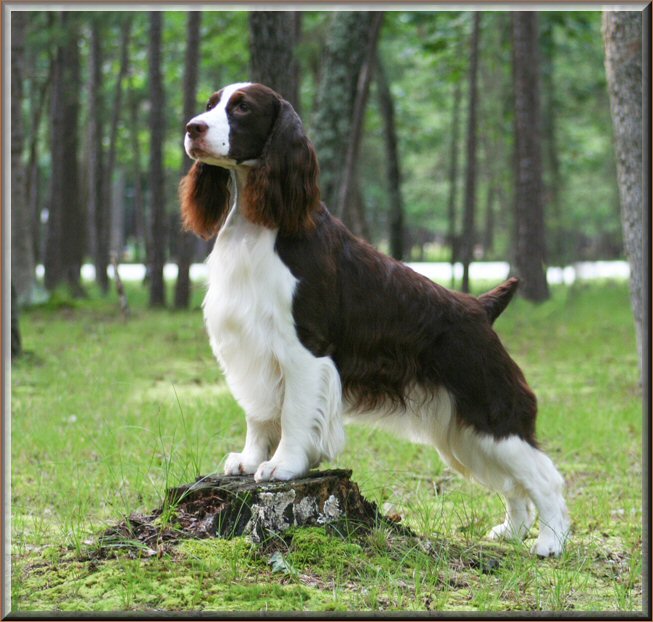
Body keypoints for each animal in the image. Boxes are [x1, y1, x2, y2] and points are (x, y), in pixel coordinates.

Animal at [181, 81, 568, 556]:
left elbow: (293, 414)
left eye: (242, 108)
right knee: (513, 484)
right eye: (210, 104)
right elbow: (260, 414)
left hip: (491, 409)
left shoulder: (303, 351)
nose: (192, 128)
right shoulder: (250, 345)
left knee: (545, 477)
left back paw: (550, 542)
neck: (262, 224)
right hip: (464, 429)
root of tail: (480, 307)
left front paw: (282, 466)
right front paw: (250, 460)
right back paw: (510, 532)